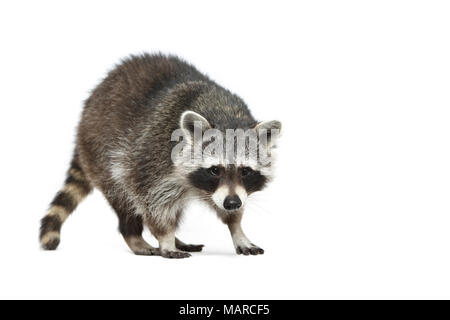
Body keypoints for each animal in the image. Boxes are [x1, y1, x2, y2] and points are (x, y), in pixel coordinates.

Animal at [38, 52, 280, 258]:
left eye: (245, 171)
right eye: (214, 170)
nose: (232, 203)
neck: (225, 114)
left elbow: (225, 204)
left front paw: (237, 228)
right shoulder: (153, 157)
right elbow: (152, 200)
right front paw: (165, 237)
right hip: (102, 154)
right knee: (124, 197)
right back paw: (135, 236)